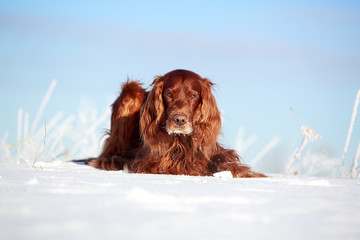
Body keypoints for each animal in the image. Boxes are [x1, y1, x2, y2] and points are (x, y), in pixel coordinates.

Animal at [88, 68, 266, 177]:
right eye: (169, 94)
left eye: (193, 96)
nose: (180, 120)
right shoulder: (152, 161)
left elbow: (226, 163)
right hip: (131, 91)